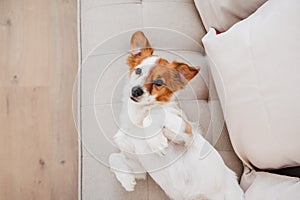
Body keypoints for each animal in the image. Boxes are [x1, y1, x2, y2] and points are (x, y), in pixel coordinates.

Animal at [108, 31, 244, 200]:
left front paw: (156, 141)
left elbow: (155, 113)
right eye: (138, 70)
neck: (137, 117)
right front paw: (126, 180)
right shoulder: (138, 165)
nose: (135, 91)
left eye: (159, 83)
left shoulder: (186, 136)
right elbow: (113, 158)